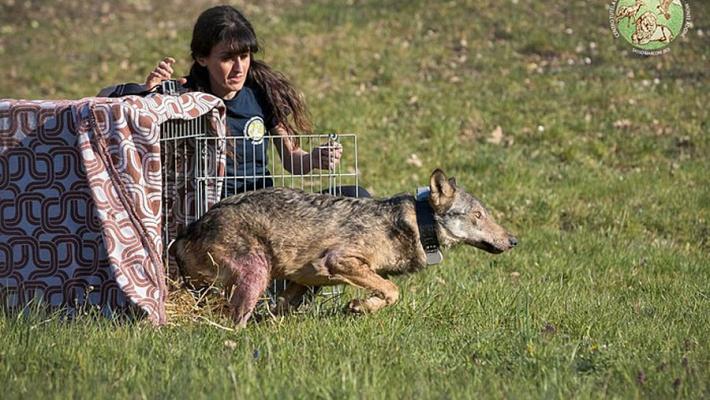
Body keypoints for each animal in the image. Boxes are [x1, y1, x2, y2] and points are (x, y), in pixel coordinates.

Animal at [170, 169, 518, 327]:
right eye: (478, 215)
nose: (514, 240)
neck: (414, 225)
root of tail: (185, 233)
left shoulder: (303, 282)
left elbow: (279, 308)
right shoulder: (338, 261)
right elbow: (392, 291)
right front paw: (360, 307)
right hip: (255, 271)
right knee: (229, 324)